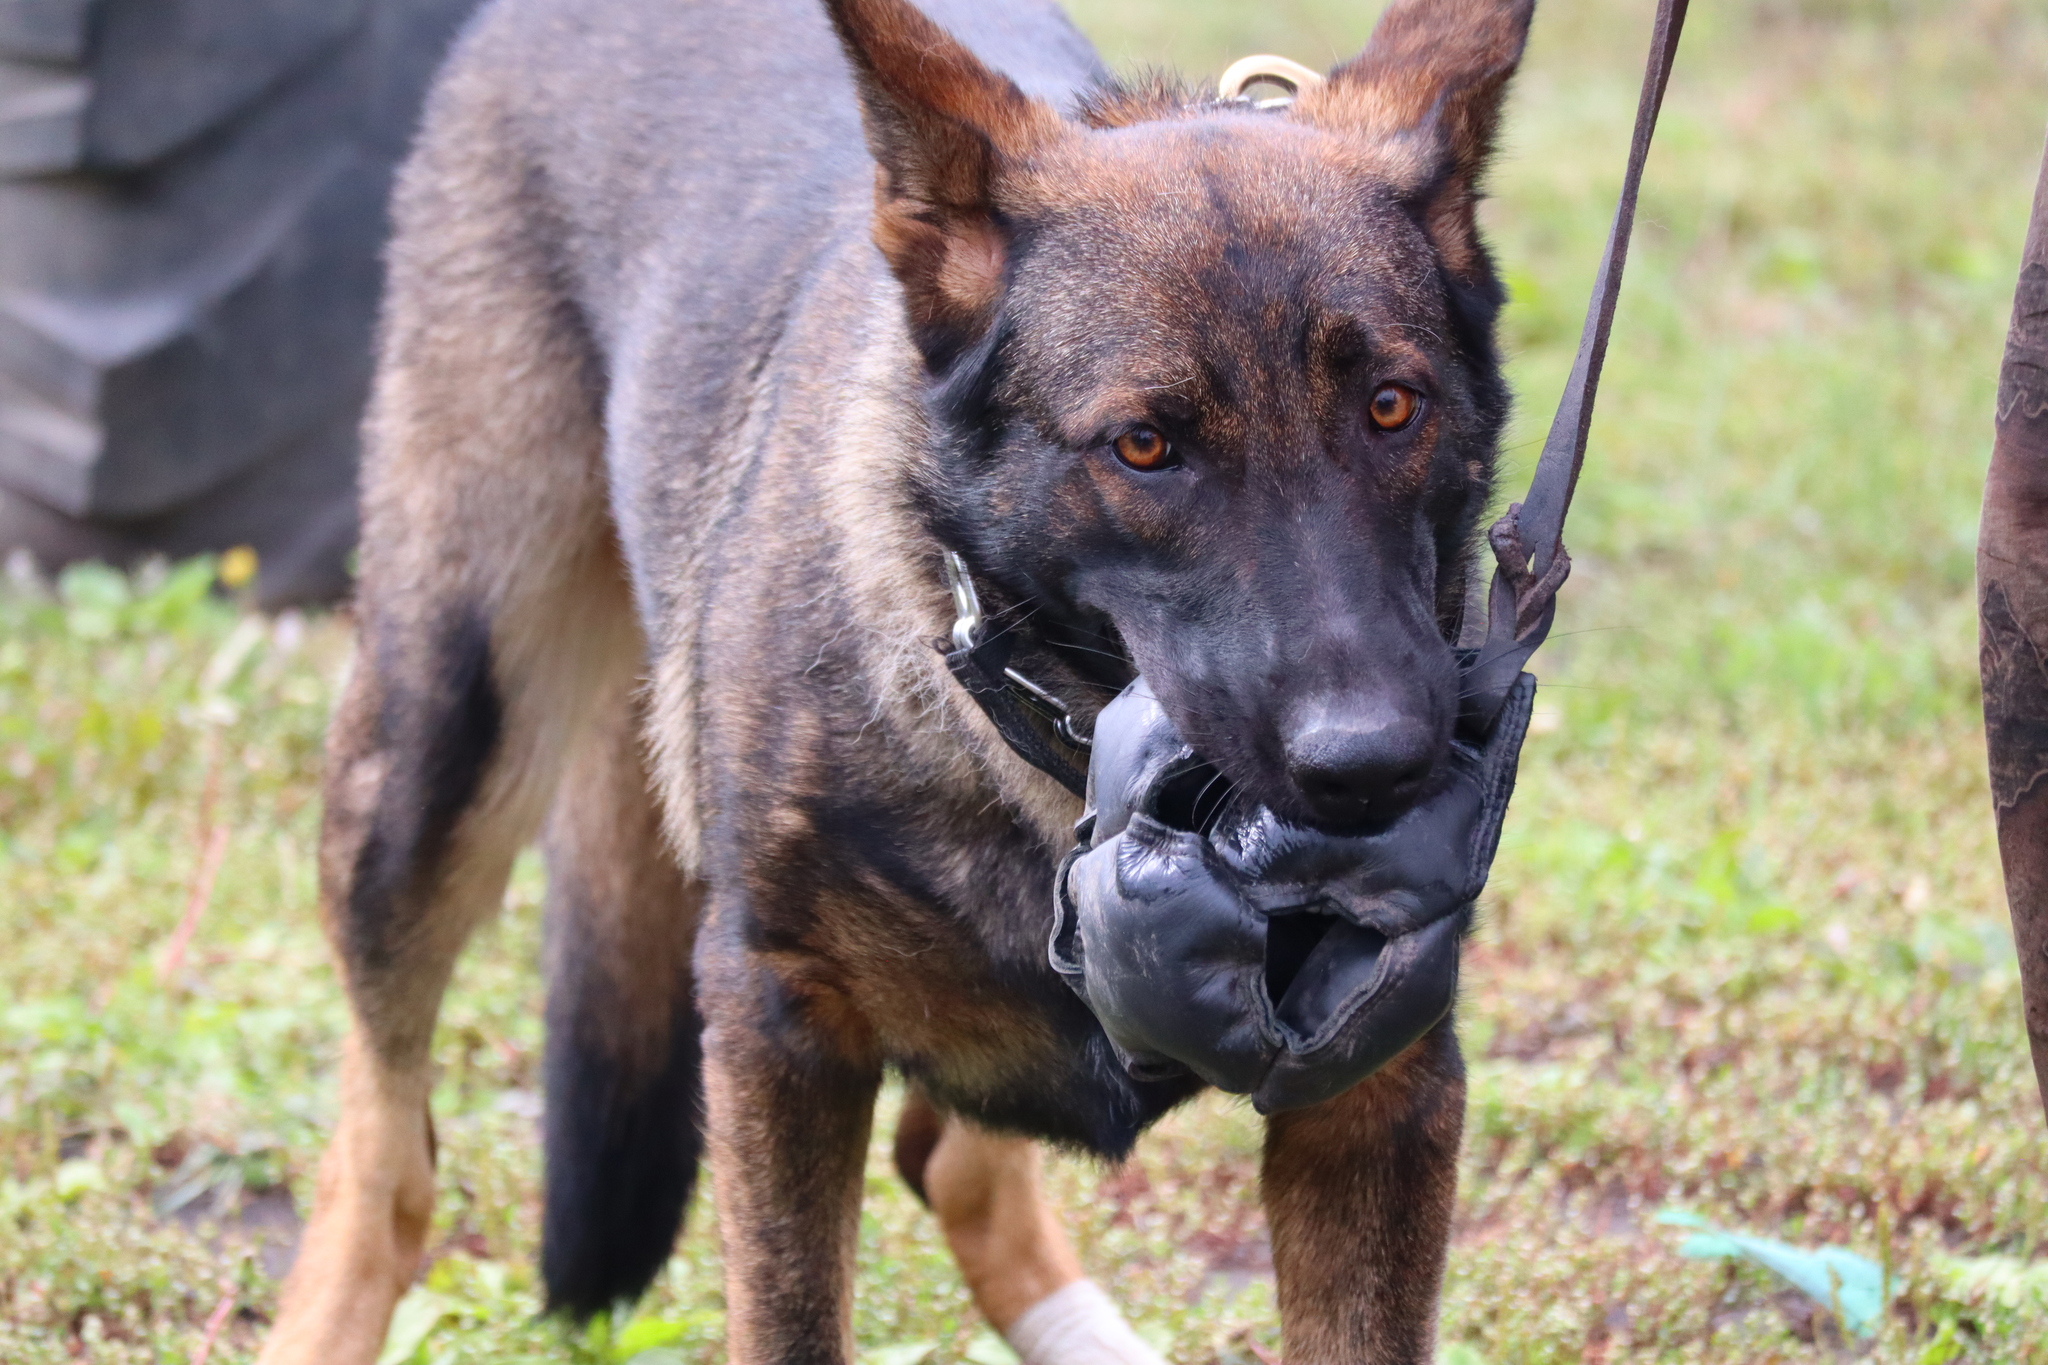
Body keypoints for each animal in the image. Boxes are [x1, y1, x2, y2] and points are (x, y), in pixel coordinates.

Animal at [256, 0, 1531, 1358]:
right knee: (385, 1161)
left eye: (1391, 408)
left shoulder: (1373, 1097)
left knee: (954, 1162)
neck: (1067, 753)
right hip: (438, 746)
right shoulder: (777, 1034)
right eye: (1143, 447)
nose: (1373, 768)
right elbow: (788, 1314)